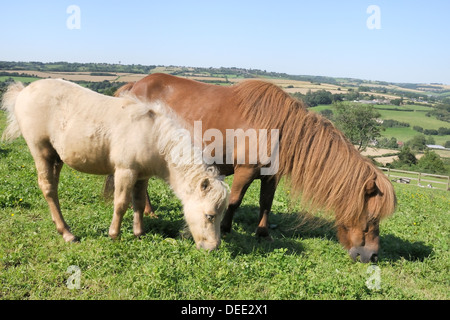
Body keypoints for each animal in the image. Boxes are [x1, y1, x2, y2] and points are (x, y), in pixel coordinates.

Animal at [0, 79, 229, 250]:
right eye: (210, 216)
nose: (213, 247)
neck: (153, 134)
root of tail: (23, 92)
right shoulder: (125, 171)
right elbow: (120, 203)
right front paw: (114, 234)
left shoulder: (142, 175)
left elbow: (138, 203)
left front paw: (139, 233)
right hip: (41, 152)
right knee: (47, 188)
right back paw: (67, 234)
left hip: (56, 158)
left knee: (53, 189)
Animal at [111, 74, 398, 262]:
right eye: (372, 218)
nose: (372, 256)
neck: (278, 128)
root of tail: (134, 85)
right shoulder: (245, 171)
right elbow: (235, 200)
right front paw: (227, 228)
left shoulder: (271, 176)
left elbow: (265, 203)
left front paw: (262, 232)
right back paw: (149, 212)